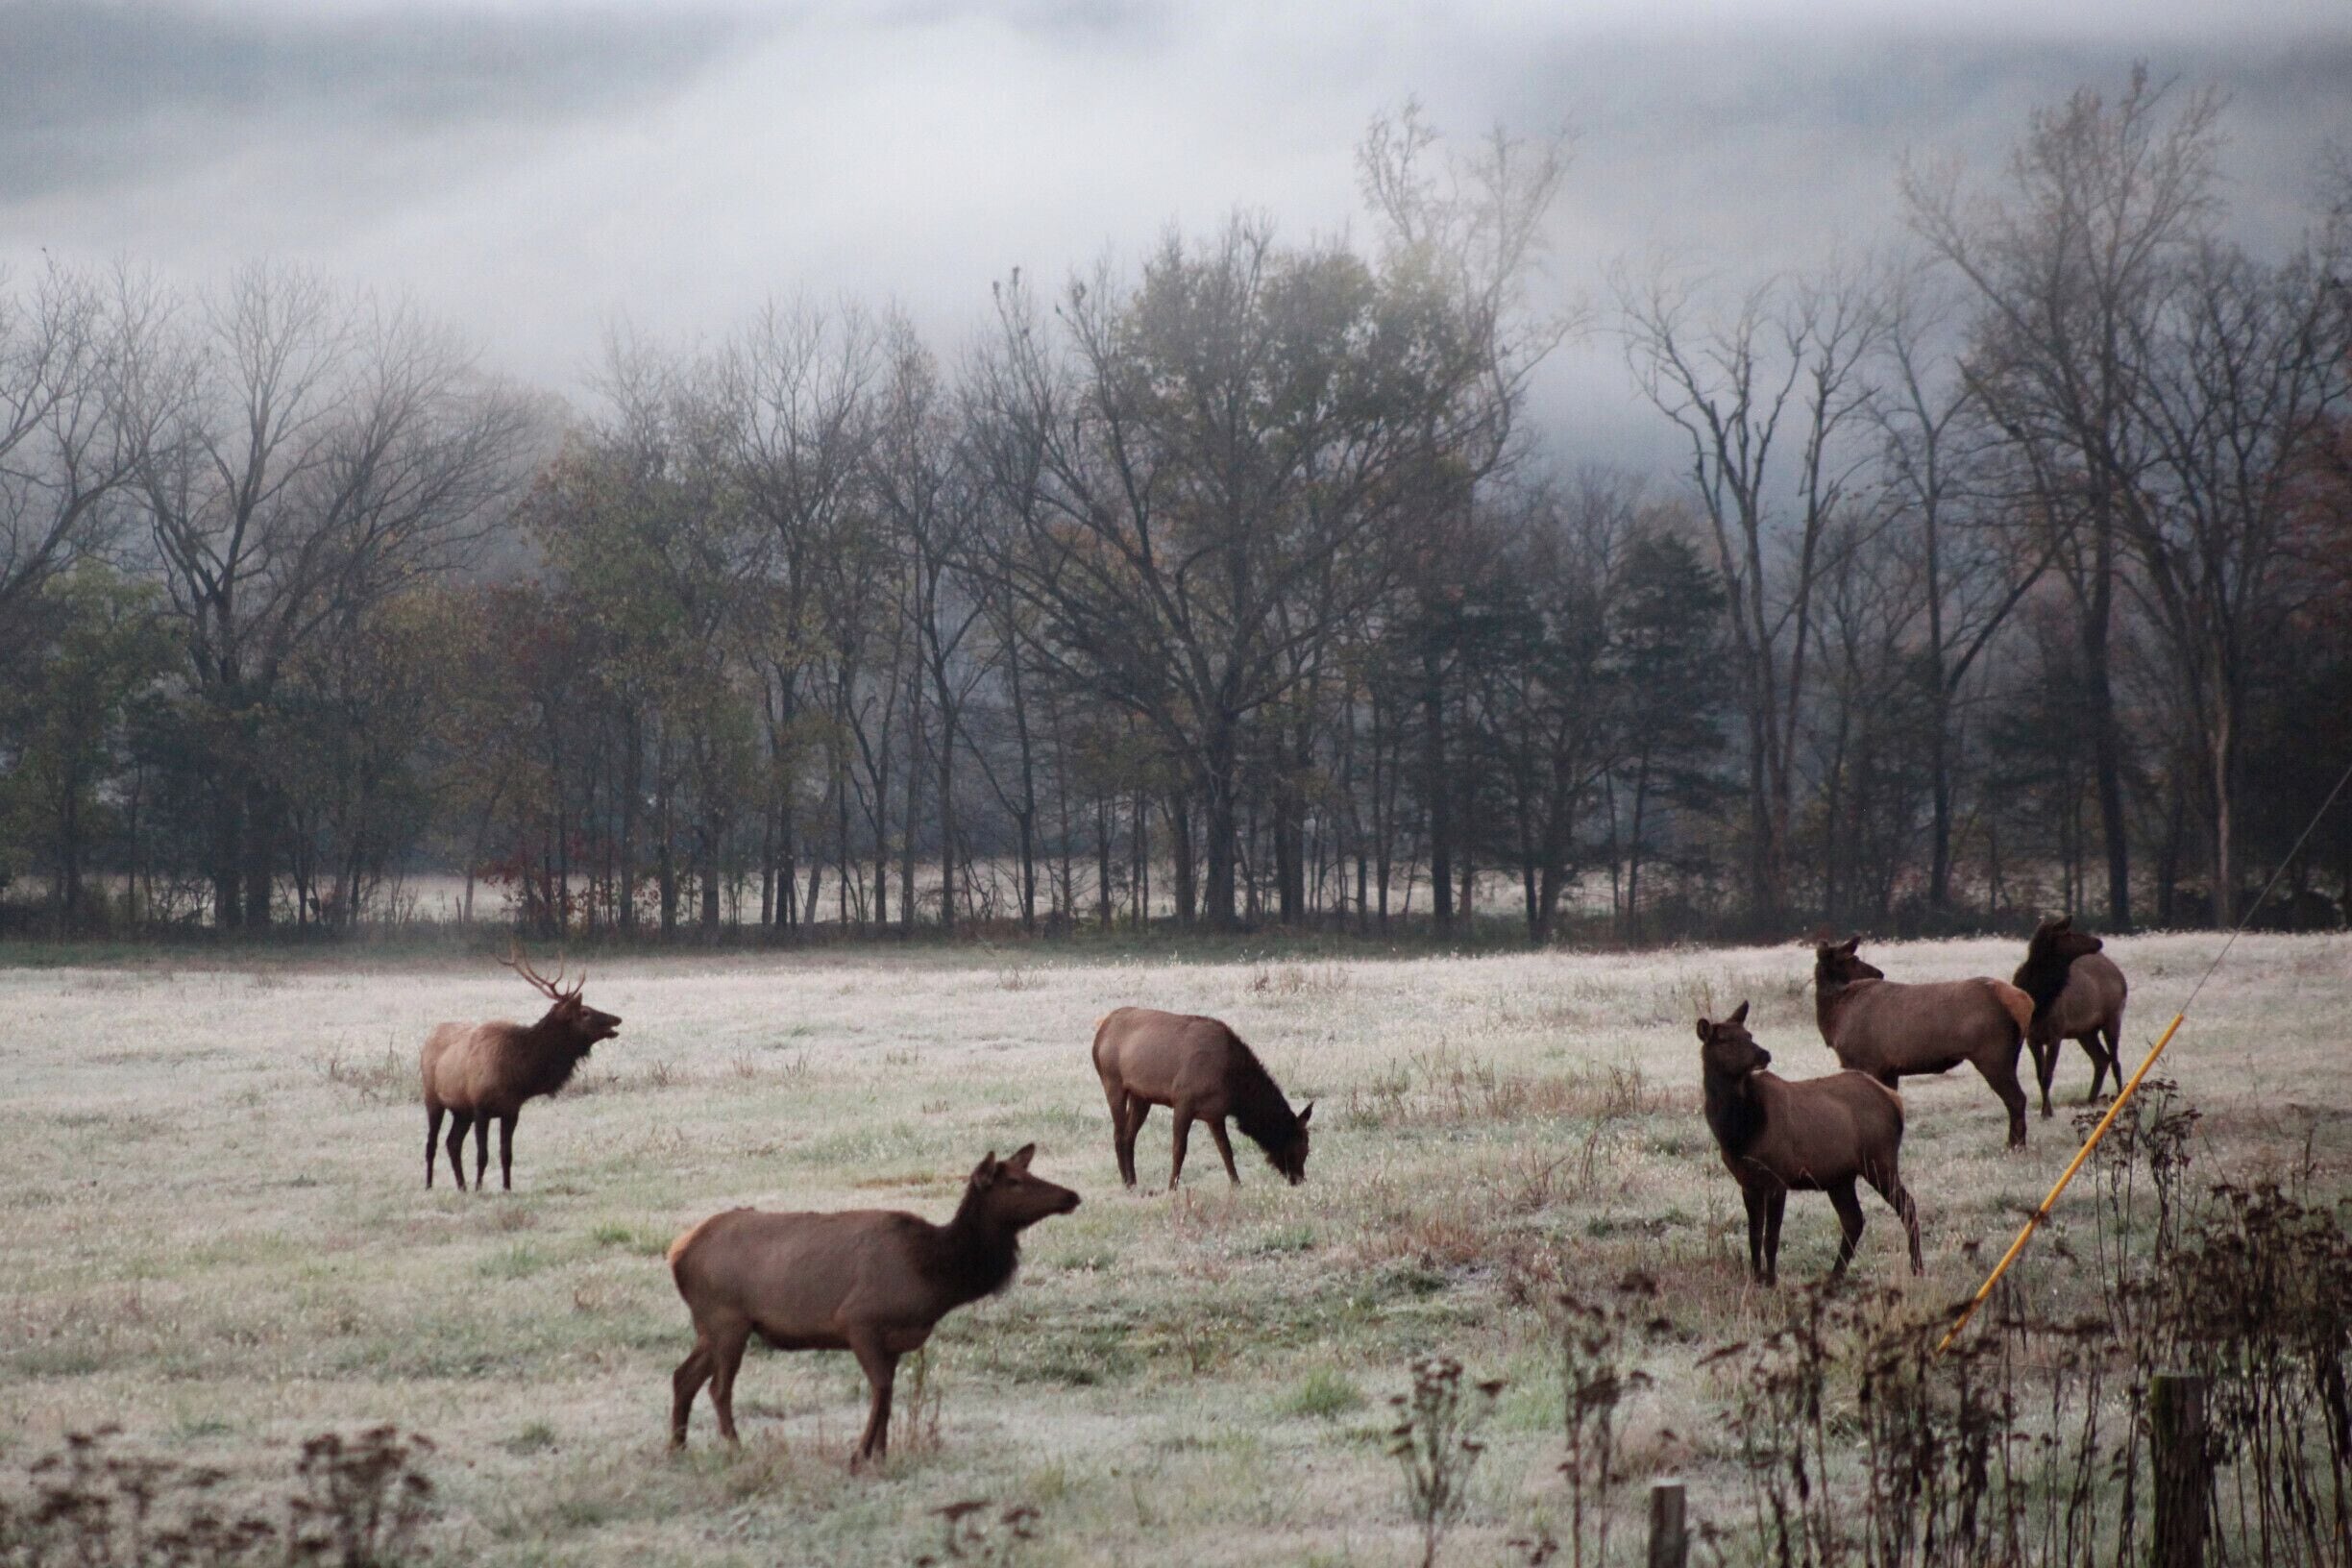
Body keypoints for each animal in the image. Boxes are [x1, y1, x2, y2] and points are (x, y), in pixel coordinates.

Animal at [420, 946, 619, 1191]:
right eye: (585, 1012)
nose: (617, 1019)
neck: (517, 1074)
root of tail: (429, 1038)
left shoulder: (511, 1110)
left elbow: (507, 1154)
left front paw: (506, 1188)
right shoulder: (480, 1108)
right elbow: (482, 1155)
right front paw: (479, 1188)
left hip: (461, 1110)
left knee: (452, 1143)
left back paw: (462, 1186)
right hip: (433, 1098)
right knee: (432, 1144)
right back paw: (430, 1185)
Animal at [666, 1144, 1080, 1465]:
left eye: (1029, 1173)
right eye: (1014, 1182)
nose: (1072, 1195)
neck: (935, 1276)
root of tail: (678, 1252)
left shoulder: (894, 1340)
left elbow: (889, 1393)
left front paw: (880, 1454)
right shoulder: (859, 1321)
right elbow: (880, 1390)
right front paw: (859, 1454)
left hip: (710, 1326)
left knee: (682, 1376)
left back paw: (677, 1447)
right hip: (727, 1319)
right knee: (719, 1388)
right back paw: (736, 1448)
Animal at [1090, 1006, 1313, 1189]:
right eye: (1301, 1148)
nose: (1300, 1179)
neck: (1233, 1087)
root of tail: (1100, 1033)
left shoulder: (1215, 1114)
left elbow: (1226, 1151)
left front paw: (1237, 1184)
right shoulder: (1183, 1102)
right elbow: (1179, 1149)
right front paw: (1172, 1187)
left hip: (1141, 1096)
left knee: (1129, 1135)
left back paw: (1134, 1181)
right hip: (1112, 1081)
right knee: (1118, 1134)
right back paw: (1126, 1182)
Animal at [1813, 936, 2036, 1149]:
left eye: (1854, 958)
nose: (1879, 974)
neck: (1836, 1017)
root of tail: (2025, 1002)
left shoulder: (1867, 1061)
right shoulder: (1889, 1069)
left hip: (1992, 1055)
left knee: (2017, 1098)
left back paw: (2015, 1146)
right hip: (2010, 1055)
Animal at [2012, 916, 2130, 1116]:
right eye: (2068, 933)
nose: (2098, 941)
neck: (2040, 1002)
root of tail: (2120, 975)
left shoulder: (2056, 1034)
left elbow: (2047, 1076)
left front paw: (2047, 1113)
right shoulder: (2031, 1038)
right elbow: (2040, 1076)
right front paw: (2046, 1110)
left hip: (2113, 1017)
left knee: (2115, 1060)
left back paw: (2121, 1097)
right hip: (2086, 1032)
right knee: (2101, 1059)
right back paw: (2091, 1099)